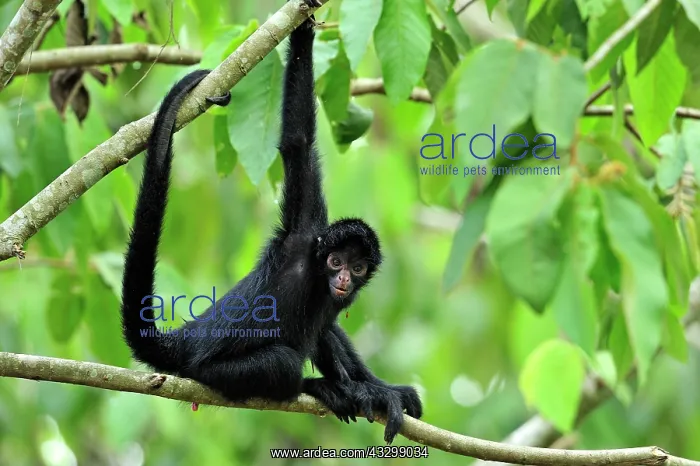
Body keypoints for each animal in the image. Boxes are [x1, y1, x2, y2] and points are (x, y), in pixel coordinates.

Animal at [120, 0, 422, 444]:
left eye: (357, 267)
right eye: (335, 261)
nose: (343, 278)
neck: (314, 272)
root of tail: (187, 341)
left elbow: (326, 333)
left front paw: (381, 389)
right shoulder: (301, 235)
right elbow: (298, 142)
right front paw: (304, 27)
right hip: (209, 371)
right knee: (282, 361)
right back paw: (325, 388)